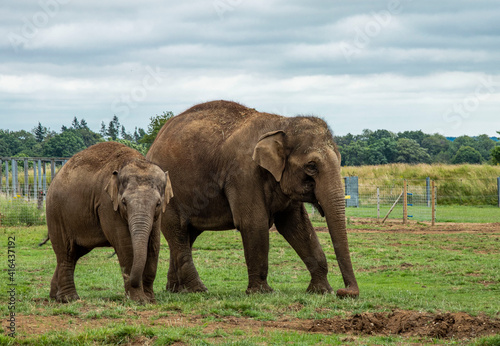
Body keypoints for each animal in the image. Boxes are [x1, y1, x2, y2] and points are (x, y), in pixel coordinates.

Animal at [45, 141, 174, 302]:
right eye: (124, 202)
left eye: (158, 203)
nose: (134, 281)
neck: (133, 160)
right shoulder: (107, 204)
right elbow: (126, 245)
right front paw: (139, 300)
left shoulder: (158, 215)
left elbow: (154, 245)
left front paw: (150, 299)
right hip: (56, 214)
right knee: (66, 252)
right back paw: (69, 299)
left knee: (75, 253)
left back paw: (54, 296)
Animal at [147, 100, 360, 298]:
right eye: (311, 166)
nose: (345, 291)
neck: (282, 123)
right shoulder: (243, 174)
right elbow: (254, 223)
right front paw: (262, 292)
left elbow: (297, 225)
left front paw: (322, 291)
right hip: (169, 195)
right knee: (178, 231)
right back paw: (197, 290)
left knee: (187, 235)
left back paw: (176, 290)